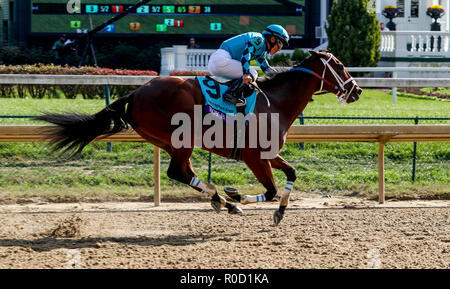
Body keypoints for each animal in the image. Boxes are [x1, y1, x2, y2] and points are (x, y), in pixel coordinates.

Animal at [33, 50, 362, 225]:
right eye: (340, 66)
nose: (357, 90)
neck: (275, 103)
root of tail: (136, 93)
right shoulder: (255, 157)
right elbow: (268, 190)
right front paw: (238, 195)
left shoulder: (268, 154)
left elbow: (291, 173)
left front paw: (279, 211)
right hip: (181, 138)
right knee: (177, 171)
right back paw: (225, 199)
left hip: (168, 142)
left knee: (182, 172)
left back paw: (220, 200)